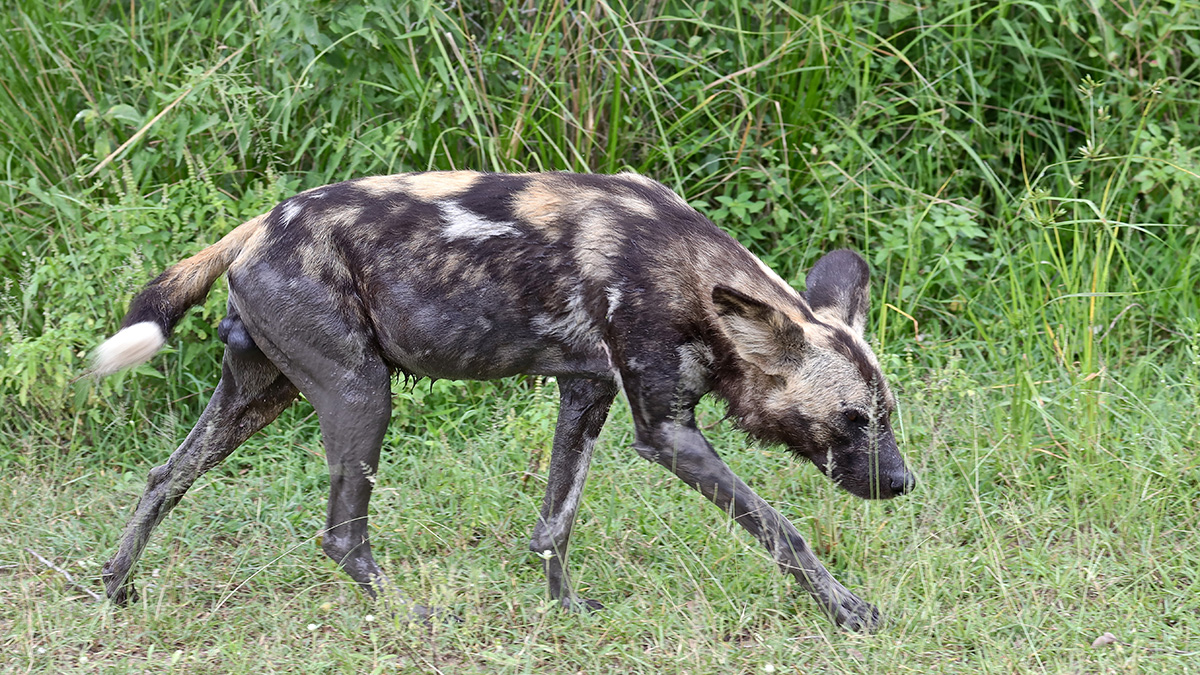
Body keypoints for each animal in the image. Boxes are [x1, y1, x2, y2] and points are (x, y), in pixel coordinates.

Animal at [93, 169, 912, 629]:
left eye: (887, 416)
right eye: (852, 419)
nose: (903, 482)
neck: (684, 271)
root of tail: (259, 226)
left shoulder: (586, 393)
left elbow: (555, 522)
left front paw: (564, 611)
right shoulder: (667, 433)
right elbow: (783, 530)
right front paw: (849, 613)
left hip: (260, 398)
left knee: (164, 477)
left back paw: (115, 588)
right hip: (362, 395)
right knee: (342, 536)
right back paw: (414, 616)